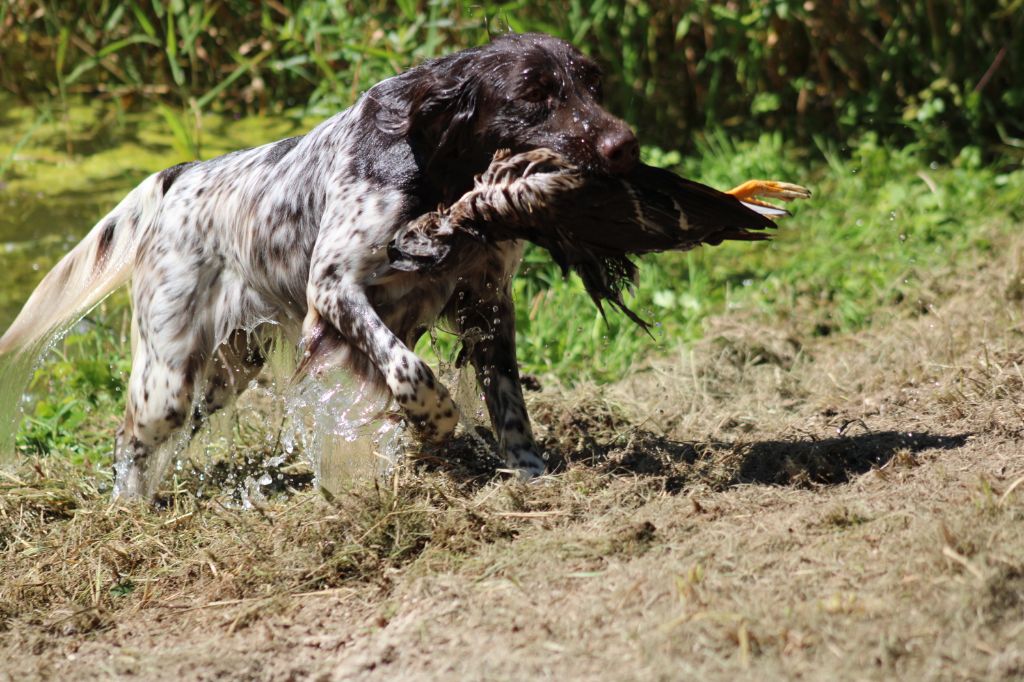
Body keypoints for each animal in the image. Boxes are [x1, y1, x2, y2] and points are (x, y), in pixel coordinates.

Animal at [0, 31, 638, 497]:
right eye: (533, 94)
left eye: (593, 82)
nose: (625, 144)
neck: (436, 173)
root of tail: (180, 175)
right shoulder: (334, 289)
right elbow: (410, 369)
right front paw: (434, 420)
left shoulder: (487, 301)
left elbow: (509, 403)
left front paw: (530, 470)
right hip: (168, 376)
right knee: (129, 441)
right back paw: (127, 510)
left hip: (230, 368)